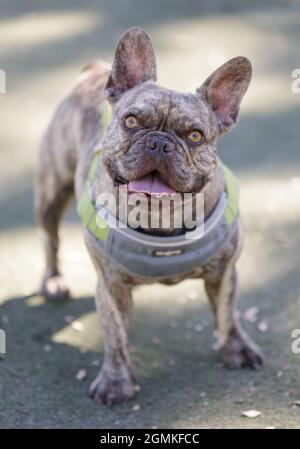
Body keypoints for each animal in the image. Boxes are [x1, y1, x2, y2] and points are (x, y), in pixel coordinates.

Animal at [36, 28, 264, 406]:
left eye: (195, 136)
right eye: (131, 121)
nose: (159, 142)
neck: (161, 221)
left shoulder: (224, 272)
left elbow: (227, 313)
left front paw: (236, 348)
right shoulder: (110, 286)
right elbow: (115, 335)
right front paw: (116, 381)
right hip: (51, 193)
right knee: (51, 239)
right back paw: (53, 281)